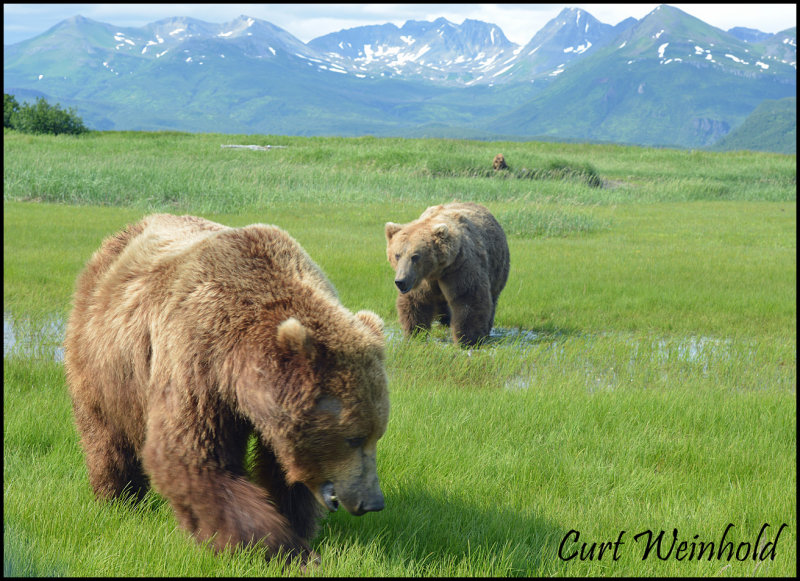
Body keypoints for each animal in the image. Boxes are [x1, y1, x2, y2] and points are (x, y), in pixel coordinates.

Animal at [64, 213, 390, 568]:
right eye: (353, 438)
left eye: (377, 434)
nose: (372, 501)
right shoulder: (197, 360)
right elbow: (193, 455)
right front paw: (283, 548)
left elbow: (283, 472)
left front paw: (295, 526)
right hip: (104, 364)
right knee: (106, 437)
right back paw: (117, 497)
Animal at [384, 202, 510, 344]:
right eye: (397, 255)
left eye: (415, 256)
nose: (400, 282)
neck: (436, 269)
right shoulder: (422, 280)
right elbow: (417, 301)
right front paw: (415, 333)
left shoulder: (459, 266)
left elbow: (467, 299)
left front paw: (467, 339)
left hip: (497, 267)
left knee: (492, 299)